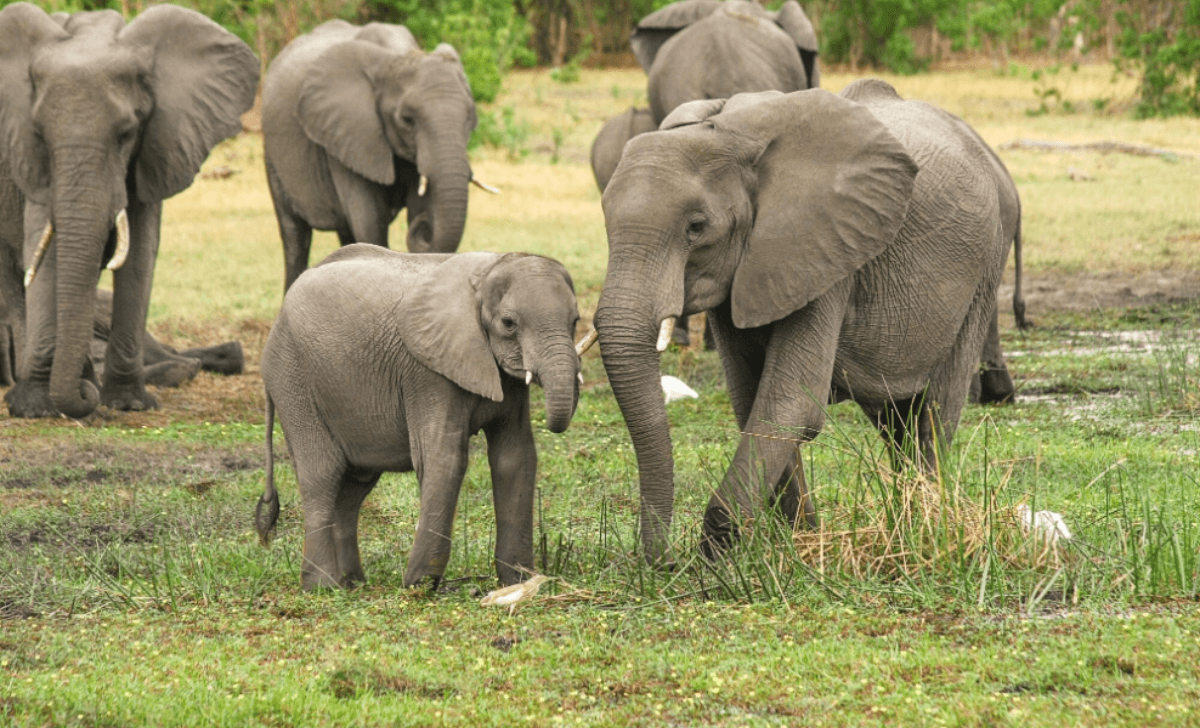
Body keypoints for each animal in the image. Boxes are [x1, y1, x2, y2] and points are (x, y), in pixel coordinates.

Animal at [0, 3, 258, 419]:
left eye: (126, 134)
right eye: (39, 134)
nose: (84, 399)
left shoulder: (157, 144)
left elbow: (140, 254)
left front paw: (129, 404)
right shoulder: (28, 160)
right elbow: (45, 251)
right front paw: (35, 408)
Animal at [255, 244, 587, 590]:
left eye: (575, 320)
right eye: (509, 323)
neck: (489, 269)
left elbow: (515, 457)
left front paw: (518, 582)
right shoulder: (427, 372)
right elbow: (444, 458)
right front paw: (419, 585)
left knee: (355, 486)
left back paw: (353, 583)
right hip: (292, 378)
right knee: (322, 473)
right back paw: (323, 587)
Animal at [263, 20, 496, 292]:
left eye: (470, 117)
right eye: (407, 120)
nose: (424, 226)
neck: (398, 55)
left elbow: (416, 206)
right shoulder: (348, 135)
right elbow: (369, 222)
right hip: (272, 154)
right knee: (295, 236)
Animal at [591, 81, 1019, 564]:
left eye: (696, 227)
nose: (662, 562)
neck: (728, 134)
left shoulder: (826, 251)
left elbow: (790, 402)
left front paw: (717, 553)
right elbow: (752, 400)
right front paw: (800, 543)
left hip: (985, 265)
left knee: (934, 410)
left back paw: (926, 527)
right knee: (896, 419)